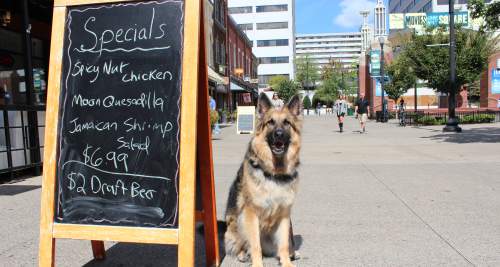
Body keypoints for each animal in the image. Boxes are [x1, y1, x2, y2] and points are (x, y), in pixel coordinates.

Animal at [225, 93, 302, 266]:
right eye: (270, 122)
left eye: (286, 123)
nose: (279, 134)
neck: (274, 172)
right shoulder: (251, 213)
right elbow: (255, 245)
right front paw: (257, 263)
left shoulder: (285, 214)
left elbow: (284, 244)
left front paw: (287, 262)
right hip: (236, 222)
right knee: (241, 245)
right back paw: (243, 254)